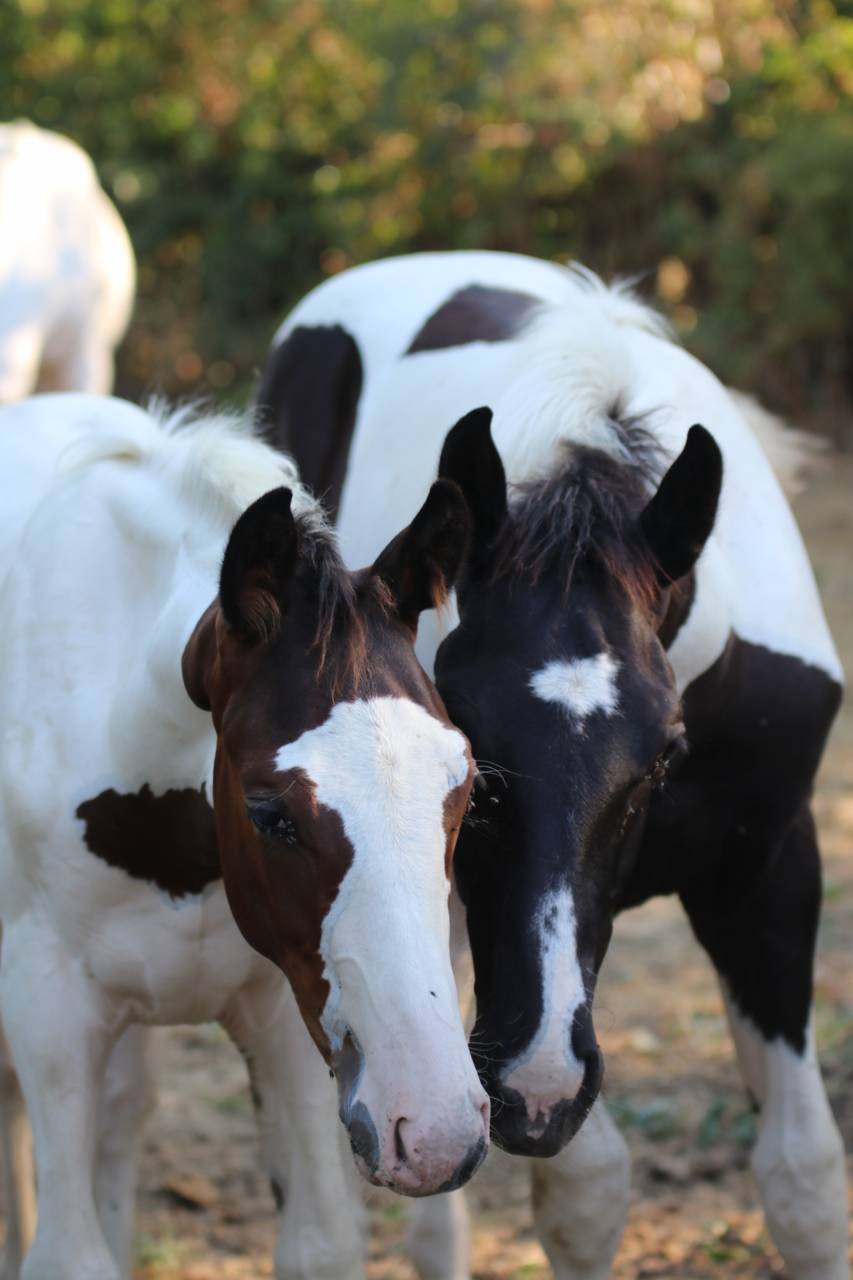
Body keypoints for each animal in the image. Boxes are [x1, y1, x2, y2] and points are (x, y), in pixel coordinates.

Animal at [0, 392, 490, 1280]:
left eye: (461, 787)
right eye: (271, 815)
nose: (437, 1129)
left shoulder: (288, 1008)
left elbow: (319, 1242)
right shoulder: (46, 1005)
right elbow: (68, 1253)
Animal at [258, 250, 848, 1280]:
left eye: (665, 754)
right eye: (469, 746)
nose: (534, 1086)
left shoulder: (769, 871)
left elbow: (803, 1176)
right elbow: (580, 1187)